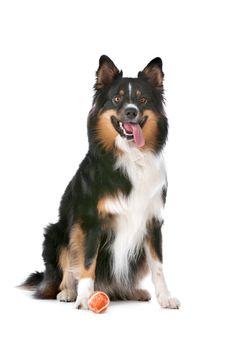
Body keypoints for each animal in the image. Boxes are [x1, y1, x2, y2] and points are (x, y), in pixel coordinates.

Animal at [22, 55, 180, 308]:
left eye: (142, 99)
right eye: (116, 99)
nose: (131, 112)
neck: (131, 156)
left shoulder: (152, 221)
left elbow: (158, 266)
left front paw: (165, 297)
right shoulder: (90, 221)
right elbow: (87, 262)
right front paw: (85, 298)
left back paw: (130, 291)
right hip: (56, 233)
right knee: (65, 269)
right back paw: (67, 292)